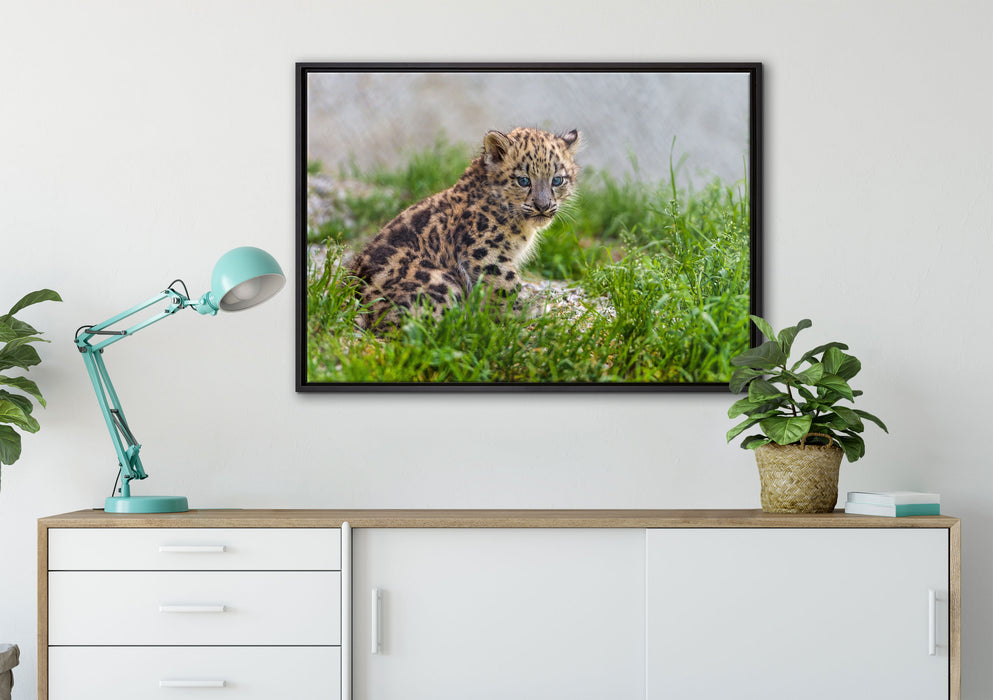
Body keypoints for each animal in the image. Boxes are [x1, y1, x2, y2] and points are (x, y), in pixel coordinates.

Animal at [348, 127, 581, 330]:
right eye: (523, 180)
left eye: (557, 180)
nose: (543, 206)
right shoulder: (486, 252)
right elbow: (507, 285)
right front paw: (531, 309)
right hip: (443, 281)